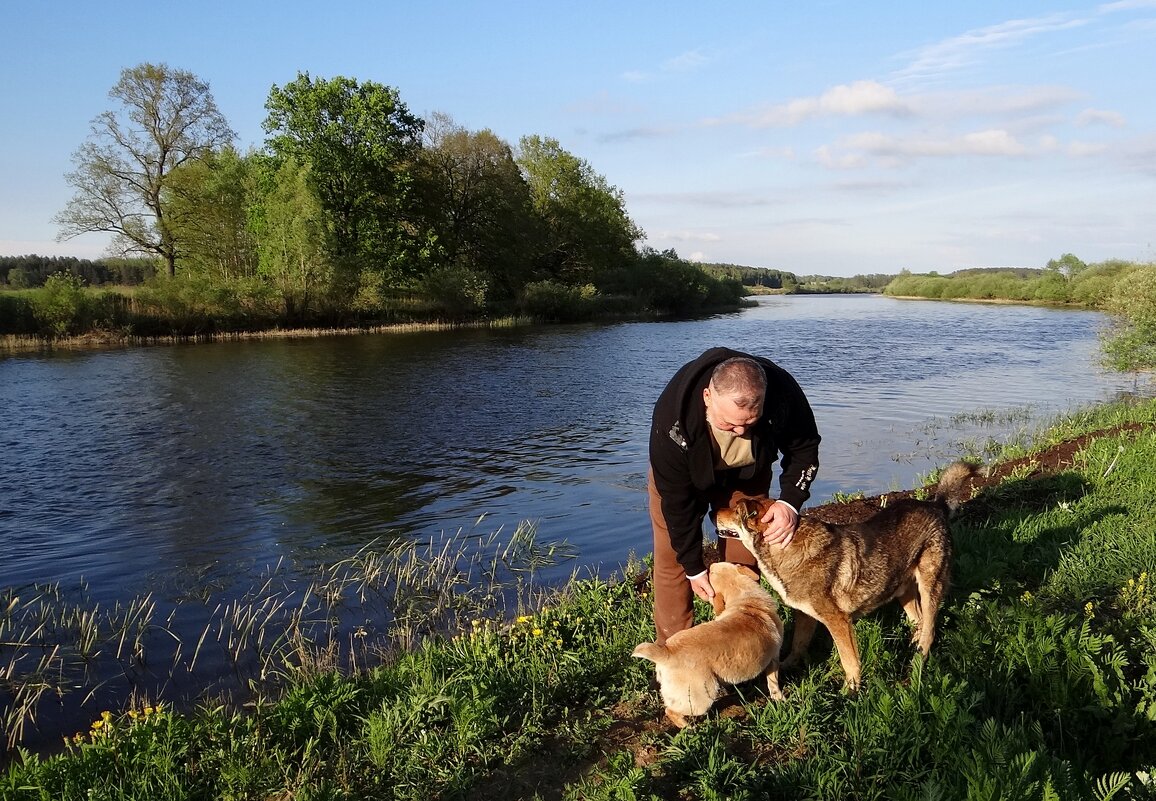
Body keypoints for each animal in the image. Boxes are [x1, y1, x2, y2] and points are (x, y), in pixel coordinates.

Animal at [633, 561, 786, 725]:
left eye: (712, 570)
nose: (709, 566)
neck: (746, 600)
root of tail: (667, 650)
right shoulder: (774, 659)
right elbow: (773, 682)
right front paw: (780, 698)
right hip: (701, 698)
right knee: (671, 711)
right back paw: (688, 727)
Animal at [712, 460, 975, 688]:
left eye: (735, 511)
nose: (713, 512)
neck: (785, 549)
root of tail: (935, 505)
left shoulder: (838, 621)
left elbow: (849, 660)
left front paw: (851, 690)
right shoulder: (804, 615)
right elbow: (798, 644)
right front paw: (787, 665)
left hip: (930, 586)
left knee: (929, 628)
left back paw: (918, 659)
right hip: (903, 590)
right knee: (918, 620)